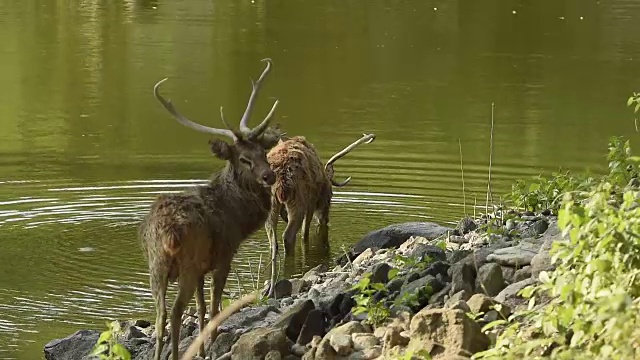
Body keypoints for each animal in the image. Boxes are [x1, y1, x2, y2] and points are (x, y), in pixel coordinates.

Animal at [140, 57, 282, 358]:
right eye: (244, 159)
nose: (269, 176)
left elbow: (202, 308)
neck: (237, 217)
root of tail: (167, 232)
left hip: (155, 265)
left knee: (160, 316)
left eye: (263, 152)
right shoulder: (223, 256)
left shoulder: (201, 269)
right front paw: (213, 342)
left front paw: (203, 349)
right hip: (186, 263)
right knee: (174, 313)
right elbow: (215, 306)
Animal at [264, 132, 376, 296]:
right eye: (330, 196)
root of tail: (280, 180)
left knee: (273, 241)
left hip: (270, 205)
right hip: (298, 200)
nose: (325, 219)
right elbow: (305, 233)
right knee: (288, 235)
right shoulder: (311, 202)